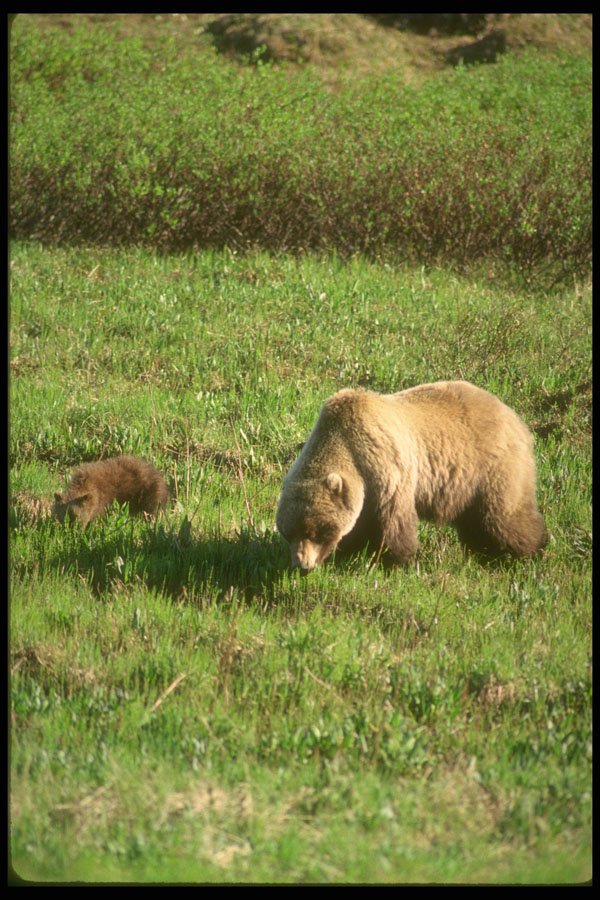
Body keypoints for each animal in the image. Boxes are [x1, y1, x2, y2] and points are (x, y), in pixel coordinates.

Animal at [276, 381, 547, 572]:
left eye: (314, 531)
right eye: (288, 532)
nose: (301, 565)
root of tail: (515, 418)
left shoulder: (386, 469)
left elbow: (393, 521)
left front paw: (394, 560)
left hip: (493, 467)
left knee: (503, 517)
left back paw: (531, 551)